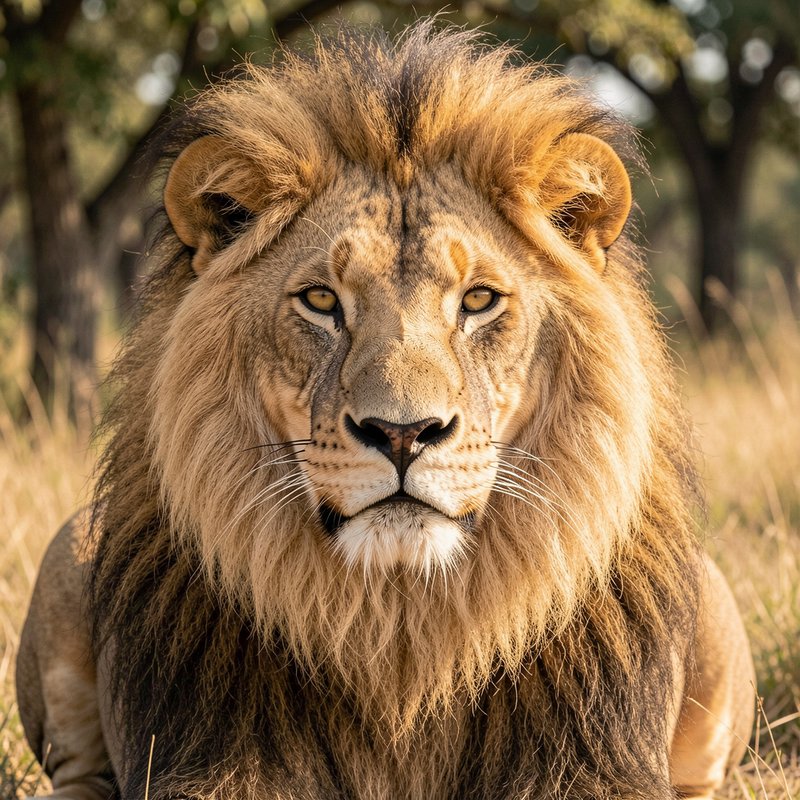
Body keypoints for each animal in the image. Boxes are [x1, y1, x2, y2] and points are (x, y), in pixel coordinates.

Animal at [16, 22, 754, 800]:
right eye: (321, 300)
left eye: (479, 299)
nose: (403, 433)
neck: (400, 628)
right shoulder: (206, 757)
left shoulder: (594, 760)